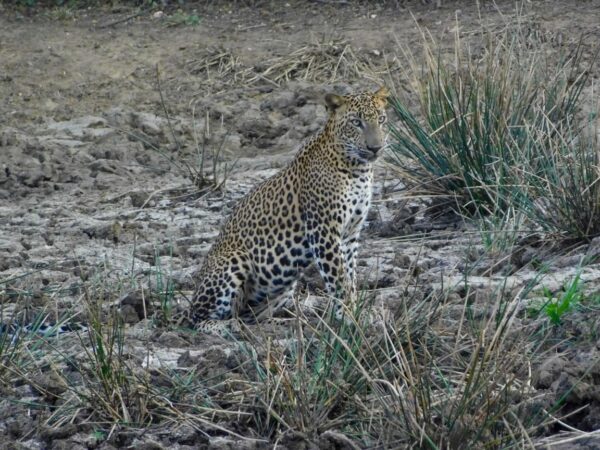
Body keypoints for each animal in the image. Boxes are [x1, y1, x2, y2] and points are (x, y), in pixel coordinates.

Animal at [178, 86, 390, 336]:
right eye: (356, 122)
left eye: (381, 119)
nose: (375, 148)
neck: (359, 169)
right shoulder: (324, 231)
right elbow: (338, 279)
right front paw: (349, 318)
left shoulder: (350, 234)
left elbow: (351, 277)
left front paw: (357, 312)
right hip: (234, 260)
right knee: (197, 318)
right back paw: (228, 326)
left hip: (285, 287)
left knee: (250, 317)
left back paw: (286, 323)